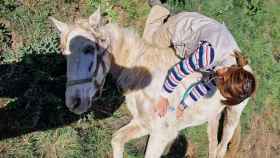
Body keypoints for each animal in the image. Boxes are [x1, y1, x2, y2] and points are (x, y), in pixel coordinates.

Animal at [50, 8, 252, 158]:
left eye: (89, 48)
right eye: (63, 52)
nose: (74, 103)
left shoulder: (159, 135)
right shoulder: (142, 123)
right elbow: (117, 139)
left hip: (233, 115)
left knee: (222, 145)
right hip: (213, 116)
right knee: (213, 144)